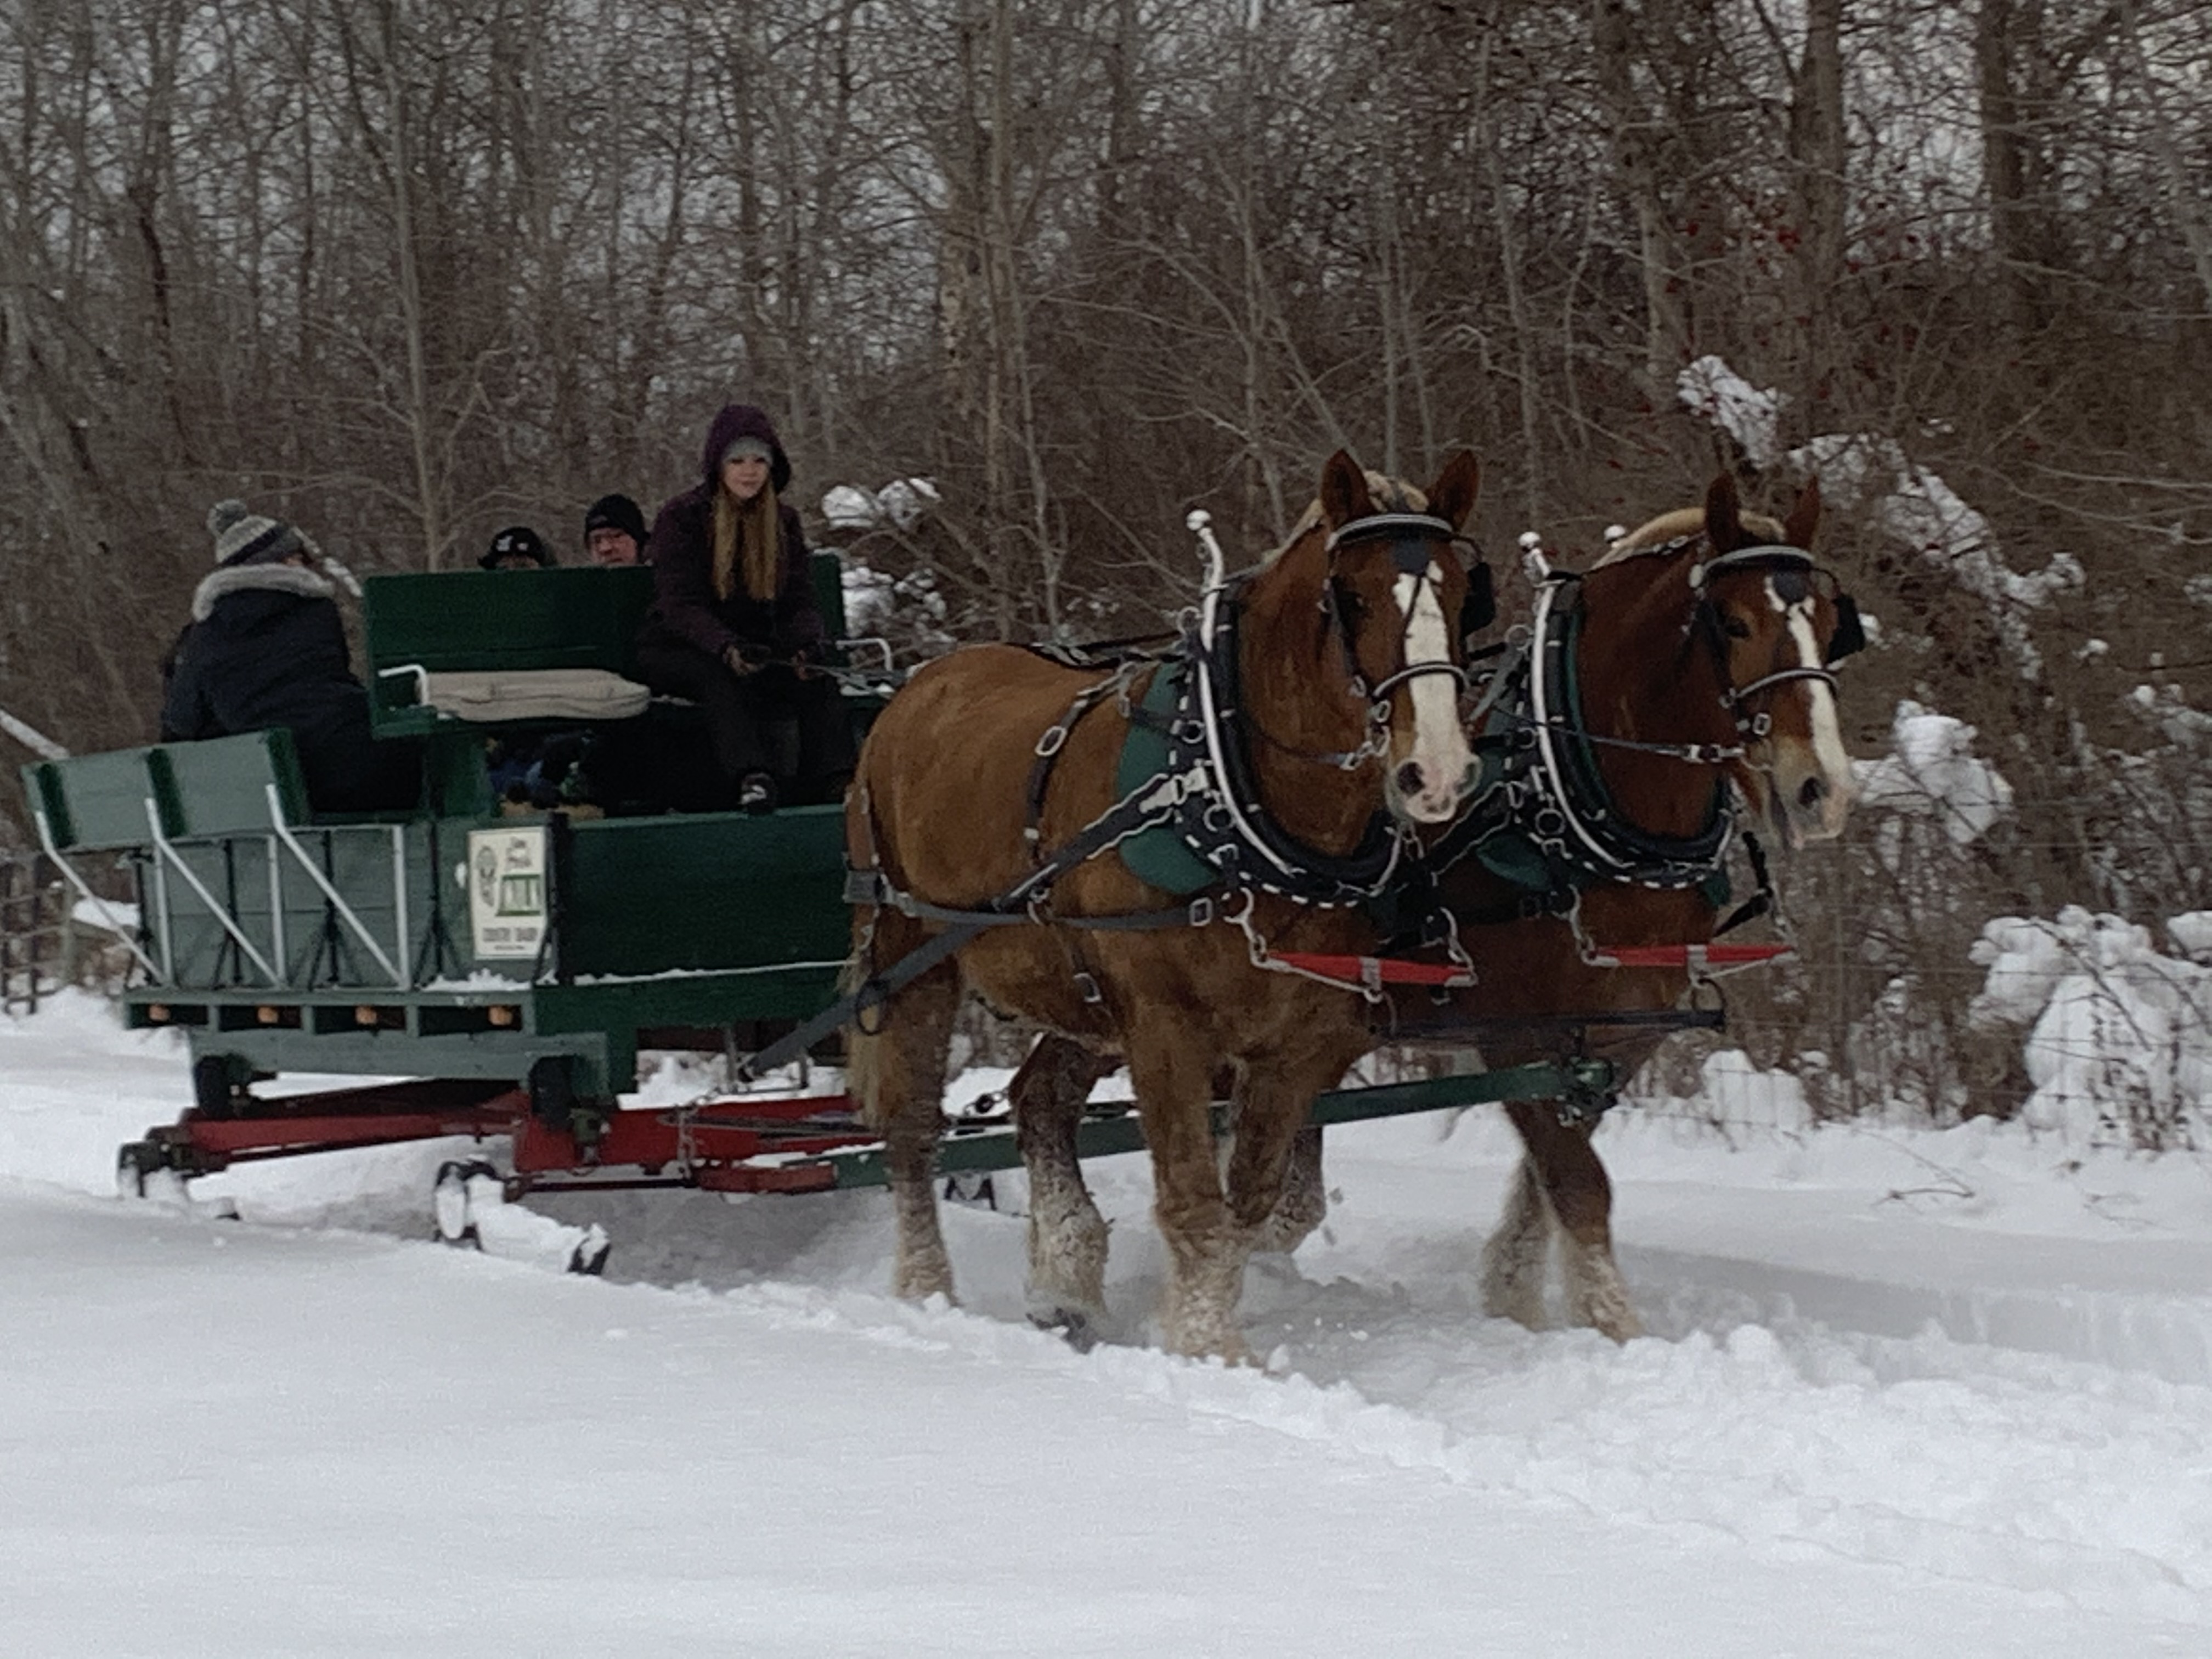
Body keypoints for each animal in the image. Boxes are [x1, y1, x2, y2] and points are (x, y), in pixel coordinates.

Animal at [844, 450, 1484, 1361]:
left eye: (1465, 594)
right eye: (1351, 597)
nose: (1437, 772)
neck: (1228, 797)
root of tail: (915, 687)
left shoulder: (1299, 1044)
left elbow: (1248, 1204)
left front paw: (1194, 1321)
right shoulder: (1164, 1027)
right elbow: (1193, 1199)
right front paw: (1206, 1346)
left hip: (1078, 996)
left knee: (1039, 1098)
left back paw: (1065, 1283)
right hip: (909, 959)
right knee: (911, 1131)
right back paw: (927, 1291)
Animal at [1002, 473, 1861, 1345]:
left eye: (1833, 629)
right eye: (1735, 622)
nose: (1821, 788)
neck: (1573, 808)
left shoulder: (1615, 1042)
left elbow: (1547, 1182)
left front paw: (1516, 1298)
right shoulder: (1512, 1033)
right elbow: (1576, 1183)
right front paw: (1616, 1330)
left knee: (1054, 1094)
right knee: (1050, 1095)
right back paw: (1068, 1280)